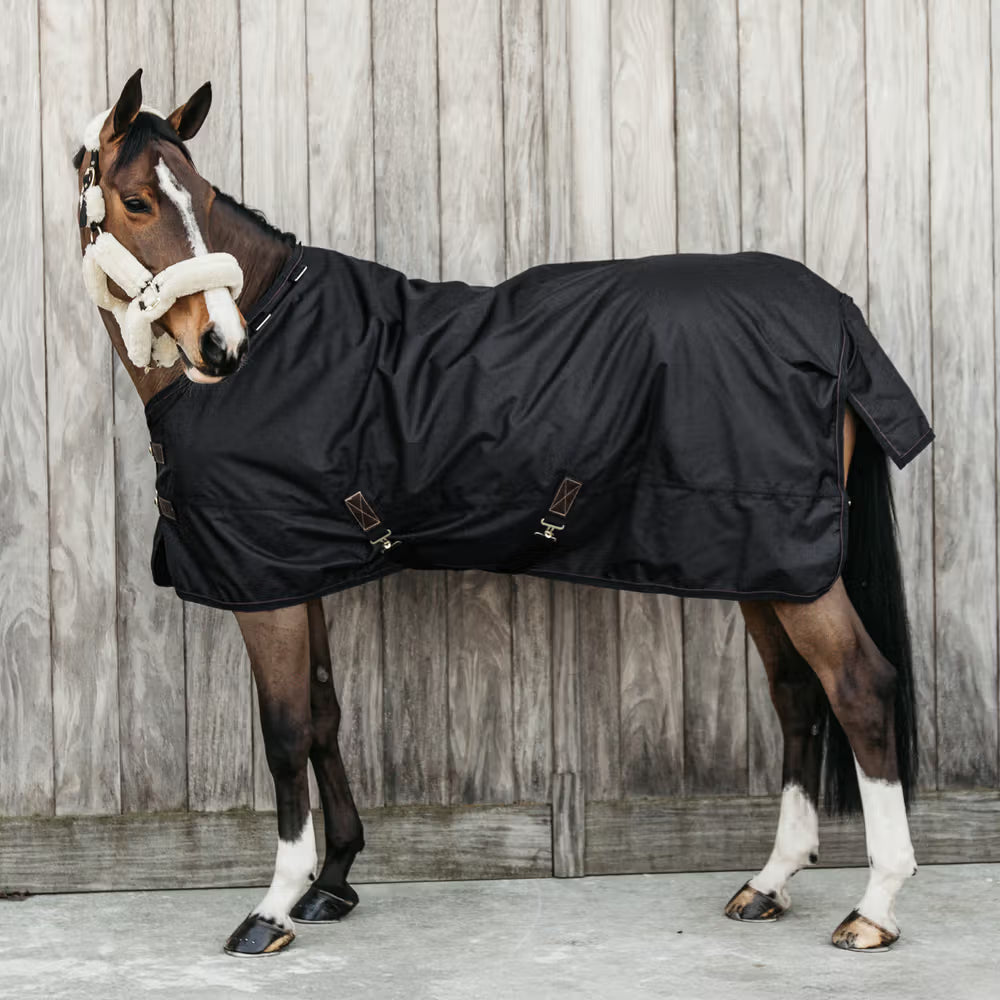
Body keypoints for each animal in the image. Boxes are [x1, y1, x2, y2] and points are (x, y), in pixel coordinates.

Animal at [74, 69, 931, 956]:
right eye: (137, 201)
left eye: (202, 199)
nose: (221, 345)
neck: (279, 338)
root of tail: (833, 312)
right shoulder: (296, 571)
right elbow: (323, 714)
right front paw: (335, 881)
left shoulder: (264, 588)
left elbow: (283, 733)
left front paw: (274, 905)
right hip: (762, 562)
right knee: (797, 693)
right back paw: (770, 881)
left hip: (795, 567)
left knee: (859, 687)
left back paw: (875, 905)